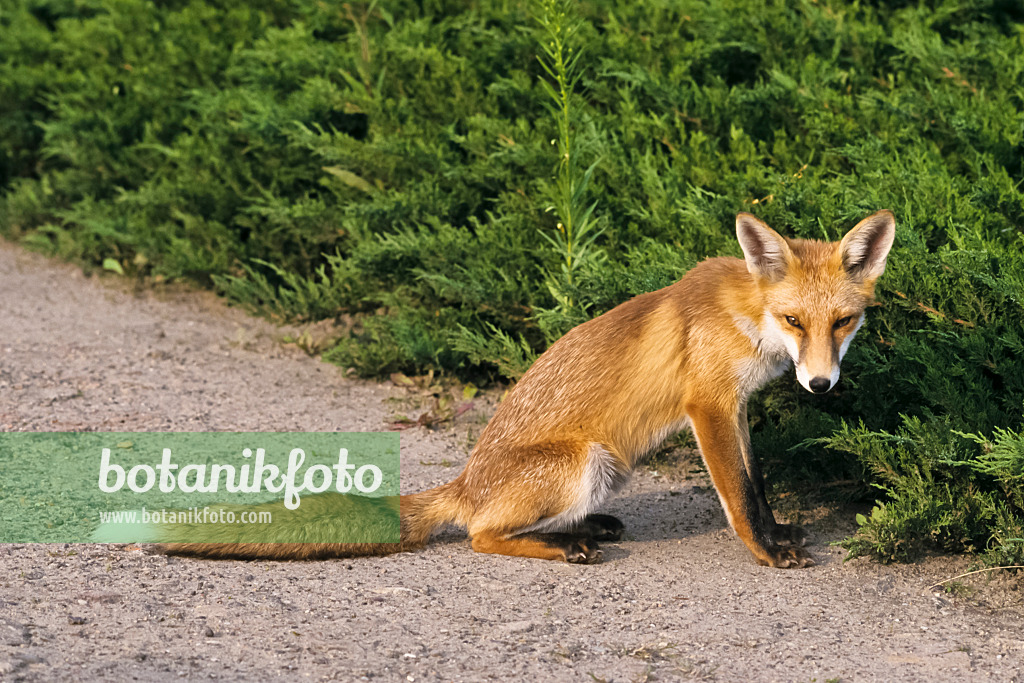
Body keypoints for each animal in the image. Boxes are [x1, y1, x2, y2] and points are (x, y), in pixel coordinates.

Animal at [155, 210, 892, 569]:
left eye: (842, 322)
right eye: (795, 321)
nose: (821, 382)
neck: (746, 318)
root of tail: (464, 480)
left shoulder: (735, 409)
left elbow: (757, 484)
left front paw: (778, 532)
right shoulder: (707, 407)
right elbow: (736, 496)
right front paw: (765, 553)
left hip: (606, 468)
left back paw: (584, 528)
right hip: (582, 460)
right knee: (481, 534)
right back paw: (563, 546)